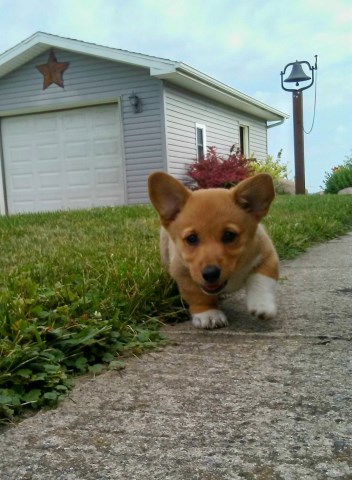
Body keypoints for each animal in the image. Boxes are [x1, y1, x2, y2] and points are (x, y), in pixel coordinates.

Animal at [147, 172, 280, 330]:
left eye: (229, 235)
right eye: (191, 238)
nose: (210, 274)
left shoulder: (267, 255)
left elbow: (261, 280)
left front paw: (262, 305)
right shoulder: (183, 273)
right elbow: (198, 296)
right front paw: (209, 314)